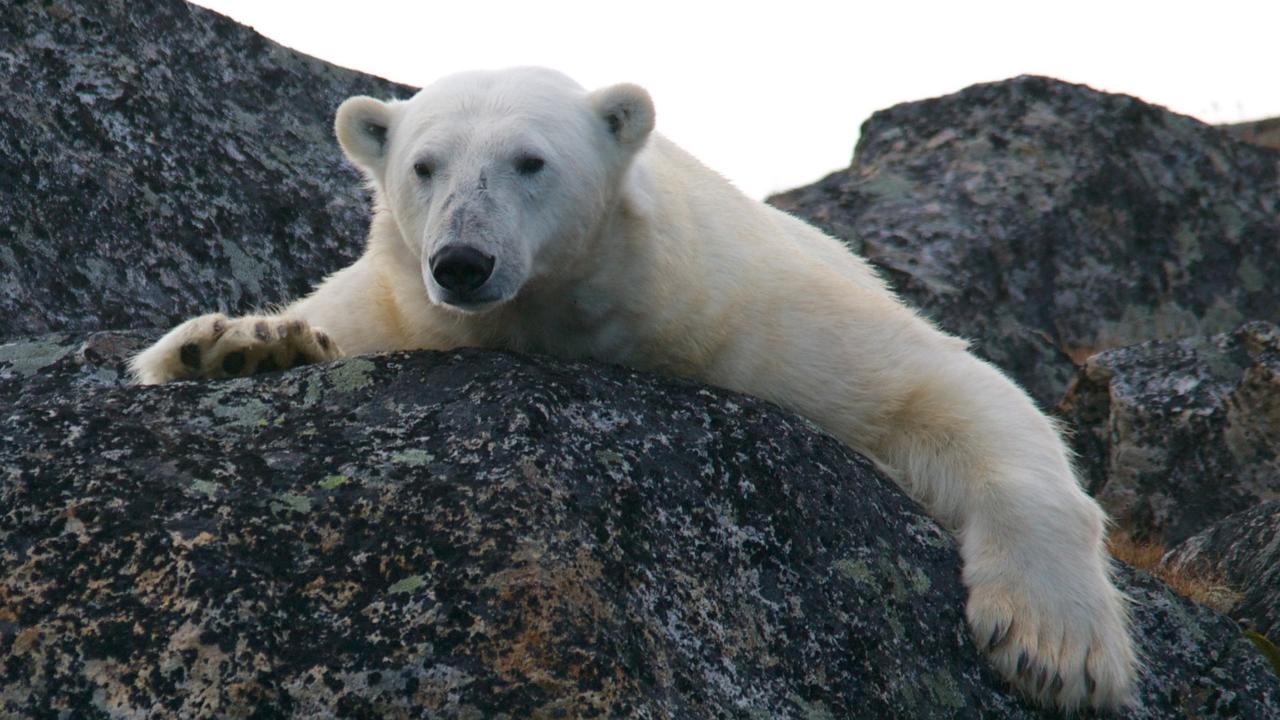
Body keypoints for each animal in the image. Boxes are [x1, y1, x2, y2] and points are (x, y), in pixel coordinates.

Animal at [127, 68, 1131, 712]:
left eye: (530, 161)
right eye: (424, 164)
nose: (462, 260)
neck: (569, 315)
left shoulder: (750, 312)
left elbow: (943, 387)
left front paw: (1057, 648)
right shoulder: (396, 306)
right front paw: (238, 347)